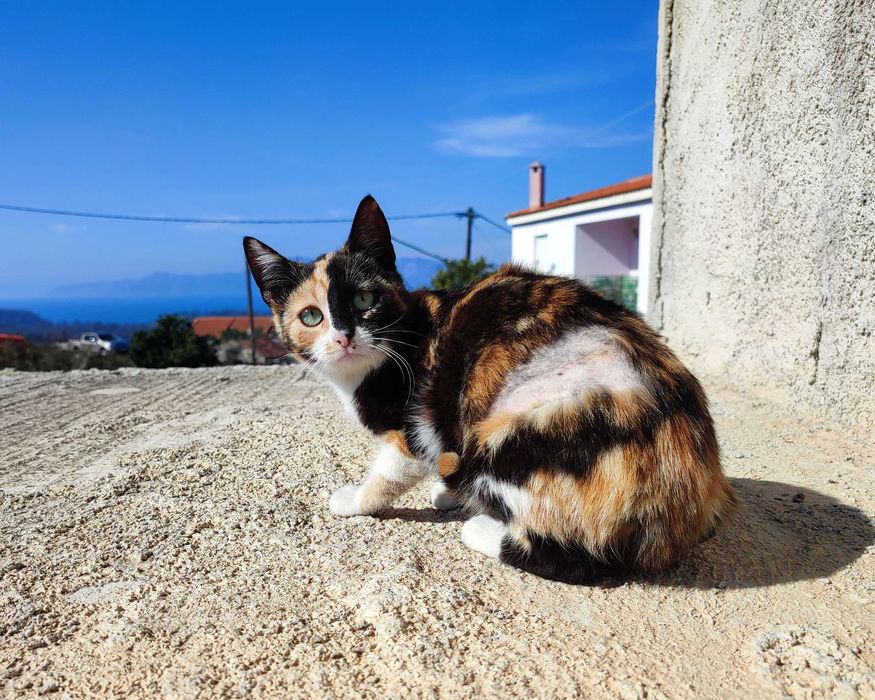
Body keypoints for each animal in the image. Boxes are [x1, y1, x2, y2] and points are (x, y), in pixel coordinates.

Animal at [243, 194, 736, 584]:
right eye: (311, 316)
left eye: (365, 299)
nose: (343, 337)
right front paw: (447, 492)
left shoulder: (414, 426)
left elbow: (390, 471)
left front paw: (356, 501)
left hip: (518, 429)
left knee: (581, 561)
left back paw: (481, 527)